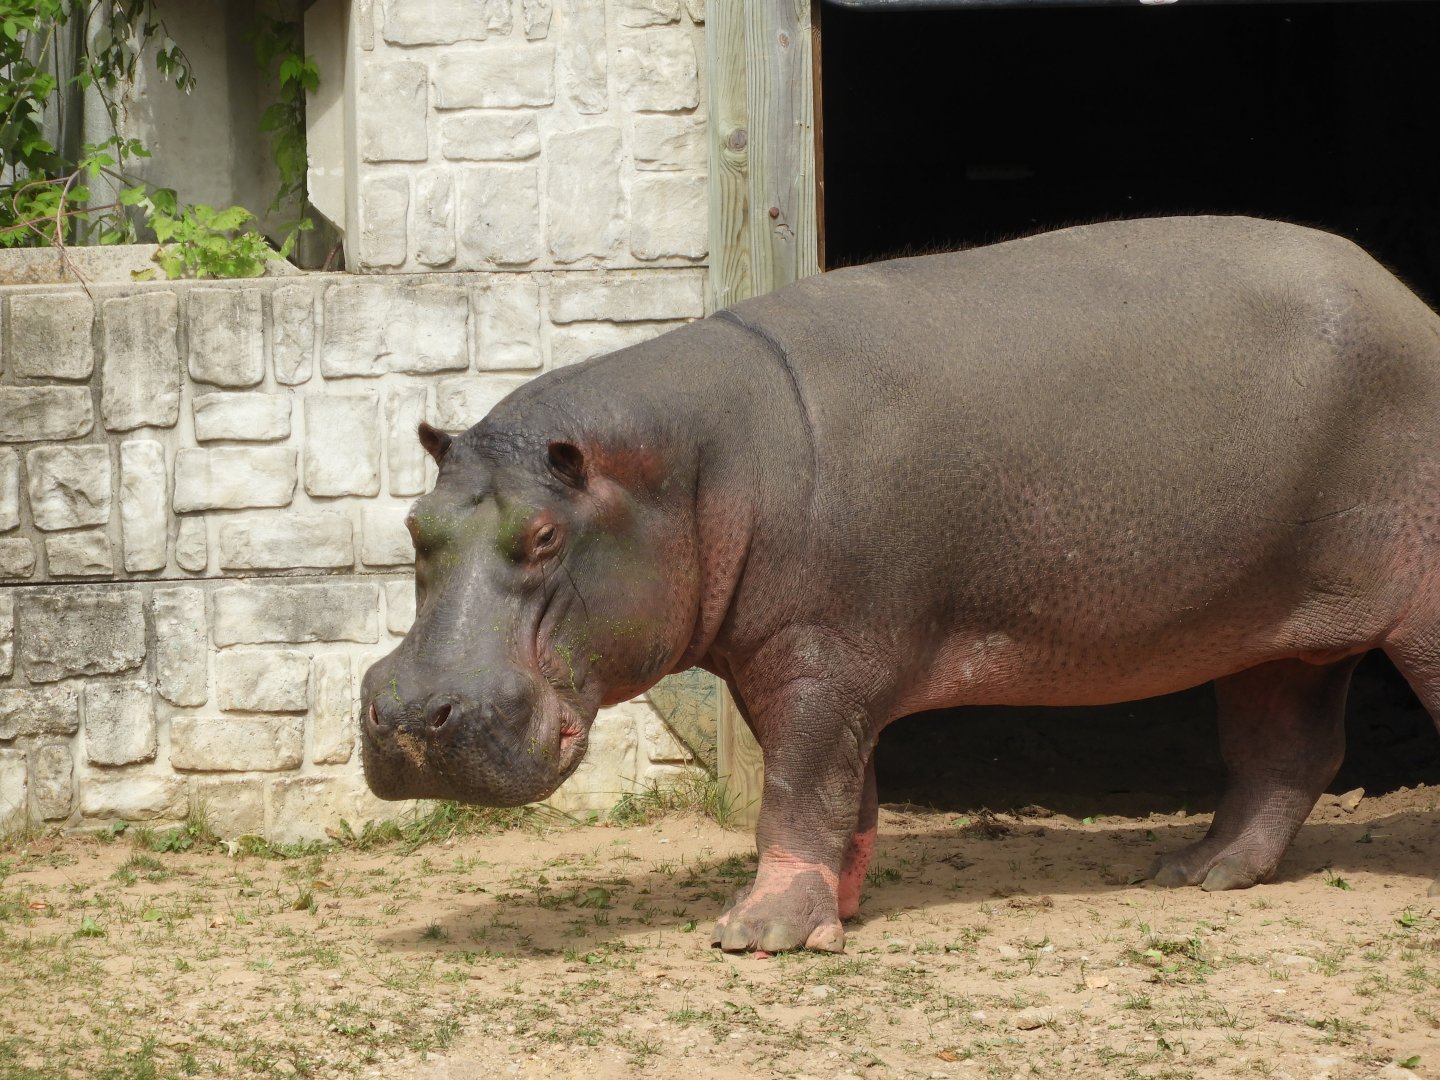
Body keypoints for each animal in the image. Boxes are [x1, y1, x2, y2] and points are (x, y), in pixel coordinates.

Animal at [361, 216, 1440, 953]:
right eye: (413, 525)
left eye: (544, 533)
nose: (410, 714)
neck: (696, 464)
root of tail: (1414, 304)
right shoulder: (808, 664)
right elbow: (846, 791)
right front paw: (832, 911)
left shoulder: (819, 657)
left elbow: (799, 788)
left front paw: (756, 934)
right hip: (1282, 631)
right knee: (1285, 753)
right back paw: (1196, 873)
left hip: (1406, 611)